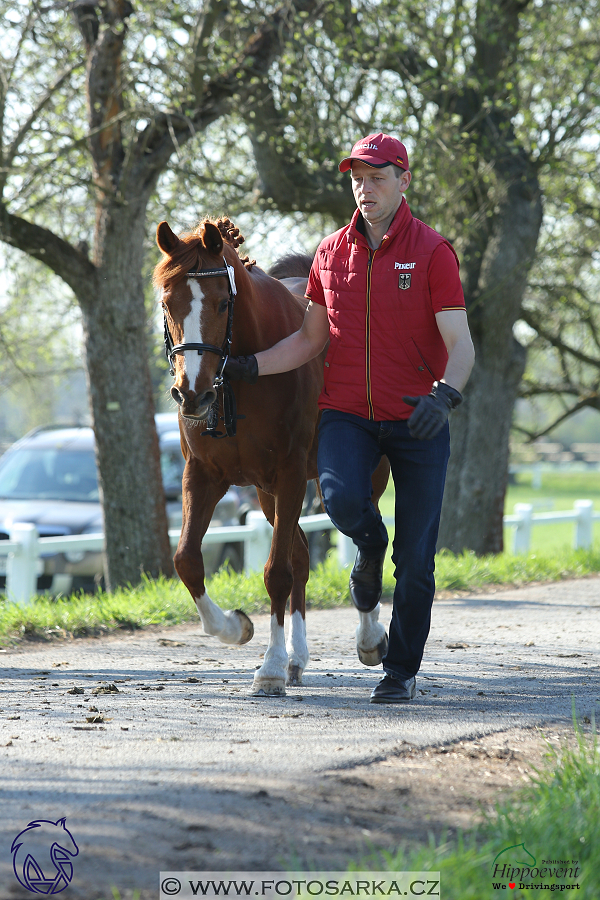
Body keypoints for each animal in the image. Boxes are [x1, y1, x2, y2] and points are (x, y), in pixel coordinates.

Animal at [155, 218, 390, 696]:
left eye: (223, 302)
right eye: (169, 303)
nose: (192, 394)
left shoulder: (290, 474)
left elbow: (276, 571)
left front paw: (270, 667)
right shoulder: (203, 475)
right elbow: (187, 560)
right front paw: (235, 627)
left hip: (363, 475)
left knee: (364, 542)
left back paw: (368, 636)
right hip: (265, 493)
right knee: (302, 554)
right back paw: (297, 656)